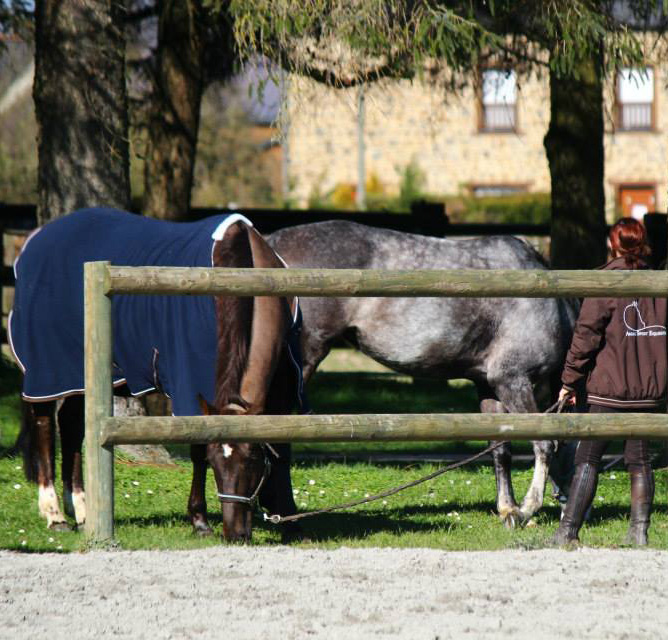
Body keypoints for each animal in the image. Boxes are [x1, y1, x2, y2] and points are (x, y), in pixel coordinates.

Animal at [10, 208, 302, 544]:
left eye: (253, 462)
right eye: (217, 463)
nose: (236, 533)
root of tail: (34, 240)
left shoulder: (282, 390)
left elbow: (281, 449)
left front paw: (288, 516)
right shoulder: (190, 386)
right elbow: (197, 449)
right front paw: (199, 520)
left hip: (79, 378)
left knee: (71, 428)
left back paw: (82, 512)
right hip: (48, 372)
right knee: (45, 426)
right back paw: (55, 514)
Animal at [268, 220, 580, 524]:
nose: (570, 506)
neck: (551, 307)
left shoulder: (488, 385)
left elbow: (500, 448)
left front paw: (508, 510)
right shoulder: (512, 380)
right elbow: (544, 443)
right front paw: (526, 509)